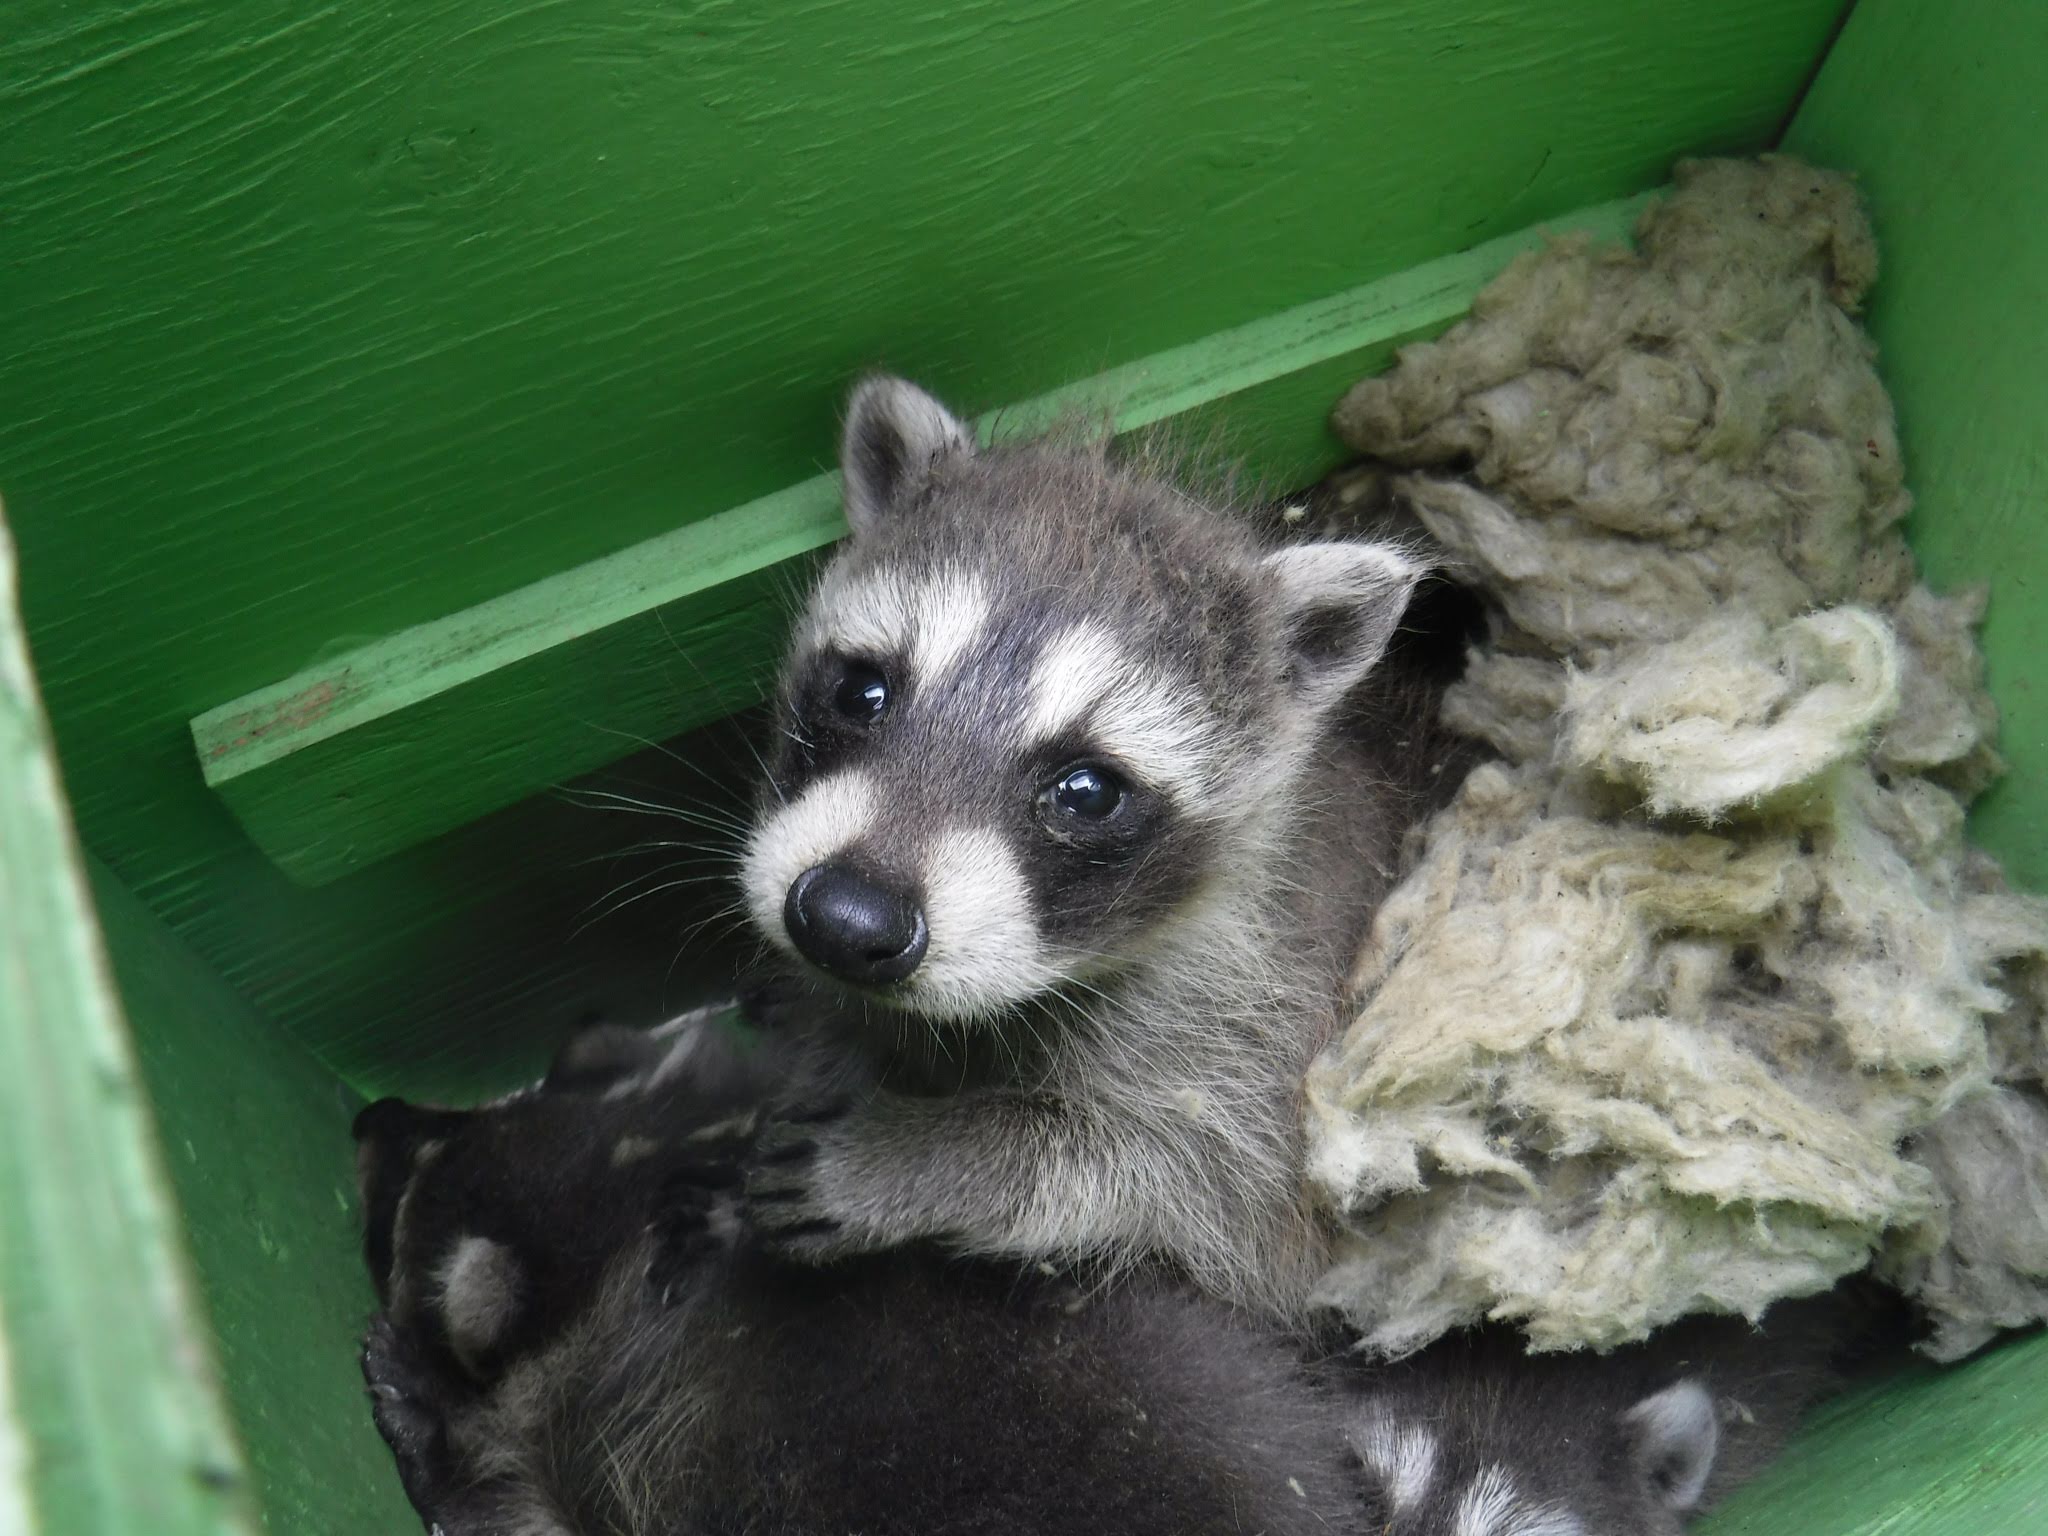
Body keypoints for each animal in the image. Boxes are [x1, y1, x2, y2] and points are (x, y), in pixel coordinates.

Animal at [737, 376, 1458, 1327]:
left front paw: (929, 1156)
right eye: (862, 690)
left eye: (1086, 792)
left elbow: (1201, 1182)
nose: (844, 920)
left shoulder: (1269, 1023)